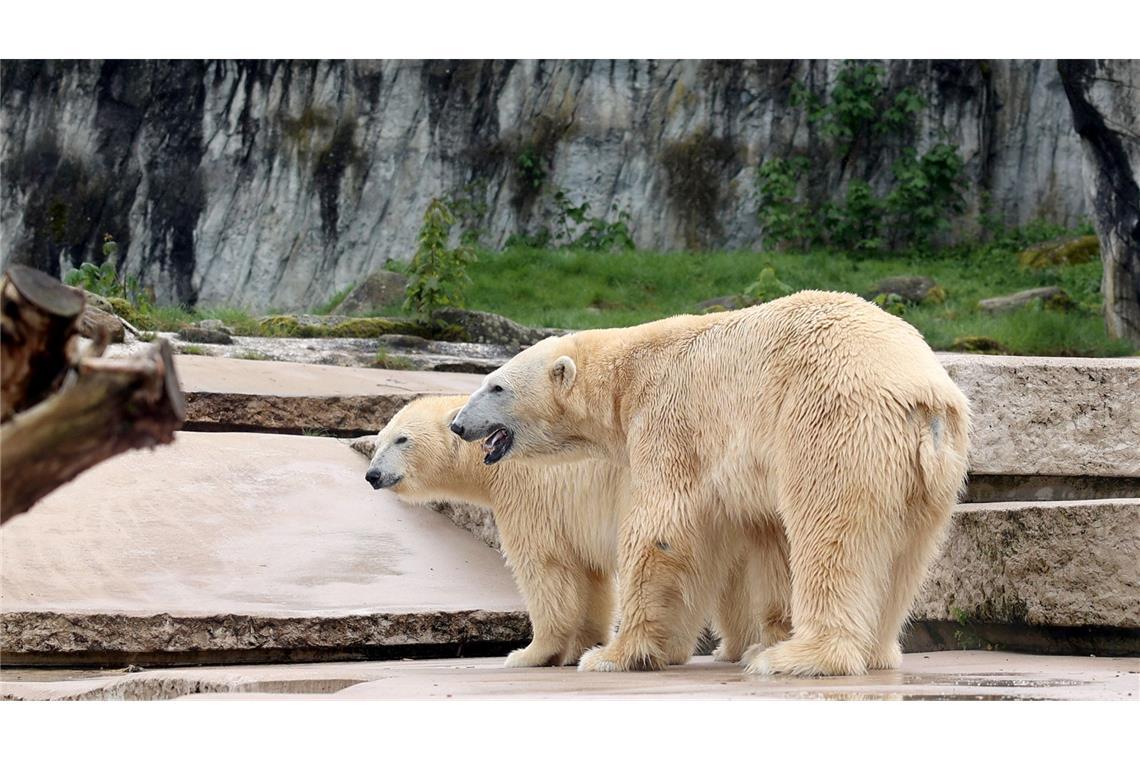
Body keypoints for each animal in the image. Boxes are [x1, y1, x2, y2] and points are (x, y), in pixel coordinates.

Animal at [364, 396, 793, 669]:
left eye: (402, 438)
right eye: (380, 439)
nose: (372, 474)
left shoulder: (530, 492)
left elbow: (546, 569)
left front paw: (531, 654)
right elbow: (591, 579)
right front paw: (579, 646)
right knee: (732, 577)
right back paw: (727, 649)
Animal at [449, 291, 966, 679]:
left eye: (495, 386)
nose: (457, 423)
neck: (625, 372)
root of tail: (924, 396)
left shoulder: (666, 416)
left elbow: (660, 528)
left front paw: (612, 655)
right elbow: (765, 536)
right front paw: (745, 639)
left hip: (834, 422)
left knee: (832, 535)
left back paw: (798, 657)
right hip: (934, 473)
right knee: (907, 555)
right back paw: (873, 652)